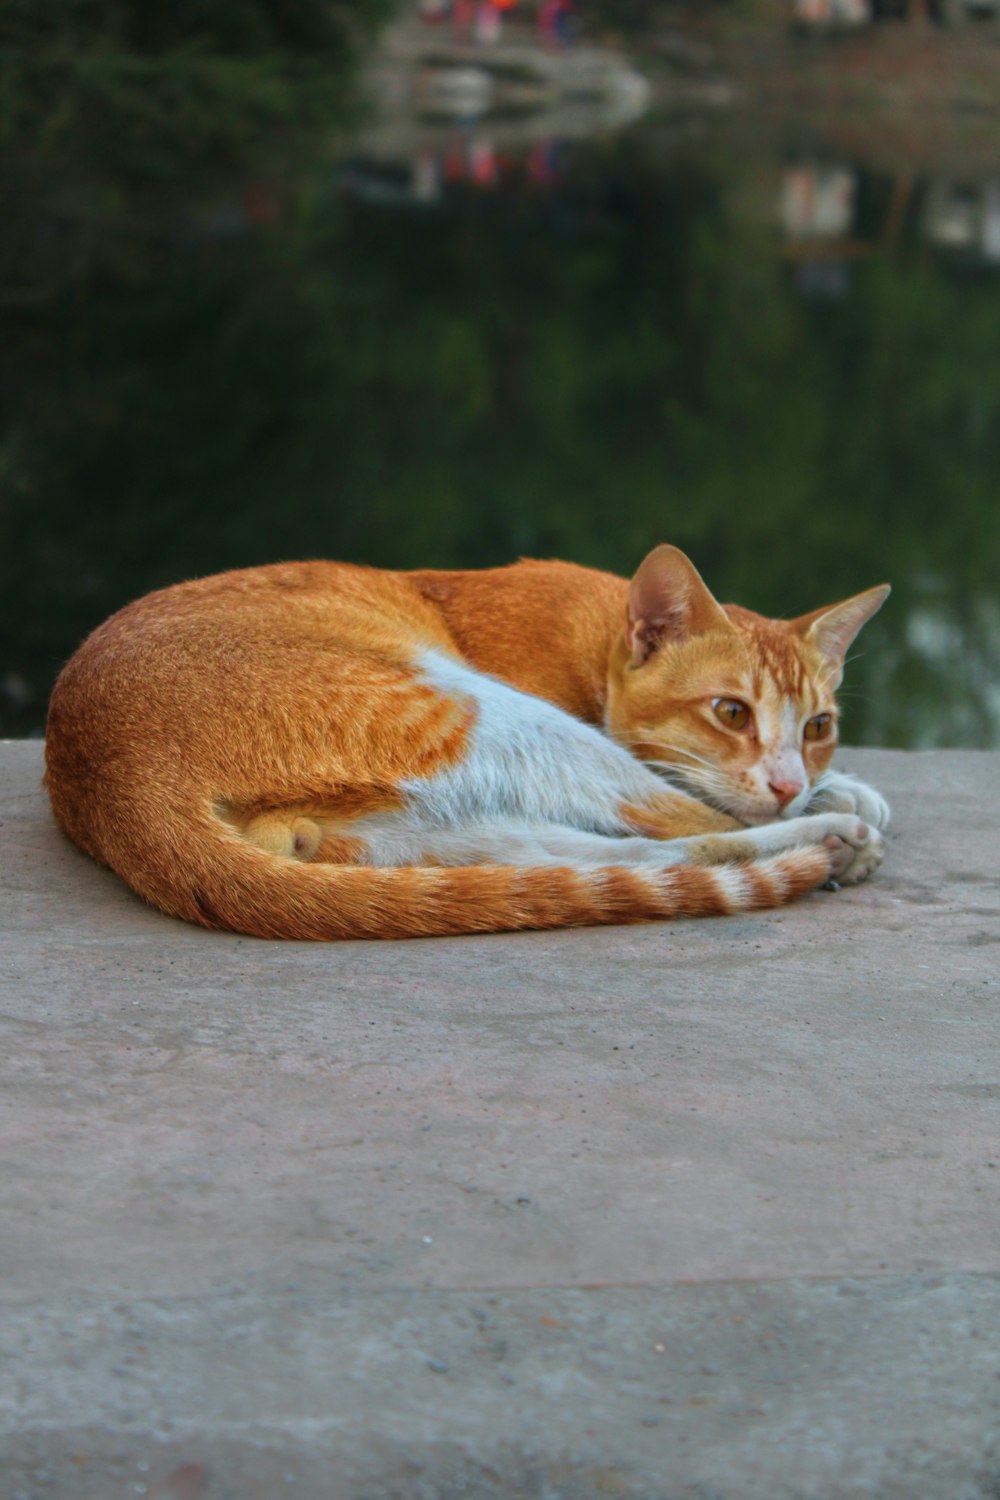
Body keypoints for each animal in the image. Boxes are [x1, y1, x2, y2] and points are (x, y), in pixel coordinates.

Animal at [44, 540, 893, 936]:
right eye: (731, 713)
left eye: (819, 727)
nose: (787, 781)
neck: (600, 631)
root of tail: (106, 770)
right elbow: (695, 797)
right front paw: (828, 801)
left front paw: (837, 786)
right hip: (484, 713)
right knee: (678, 826)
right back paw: (829, 840)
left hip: (397, 828)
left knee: (603, 856)